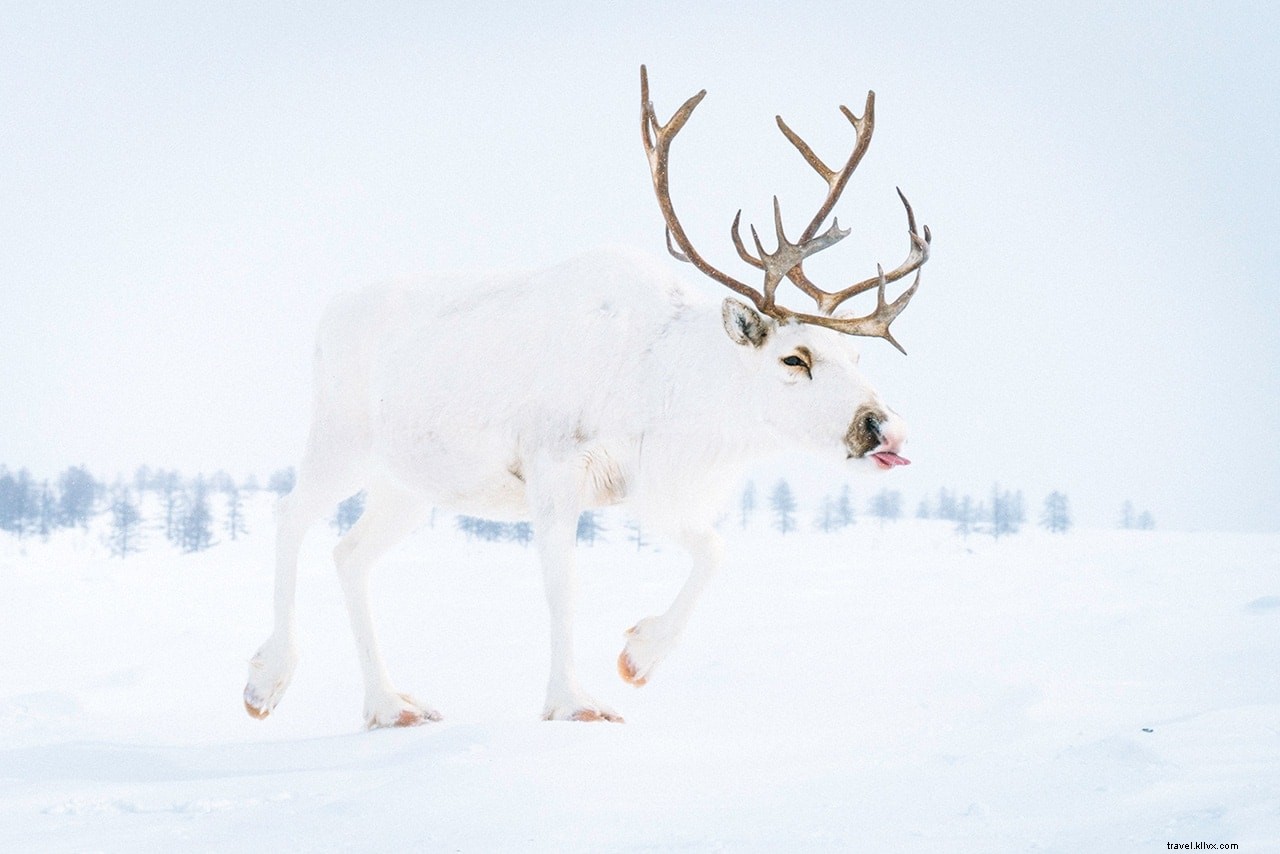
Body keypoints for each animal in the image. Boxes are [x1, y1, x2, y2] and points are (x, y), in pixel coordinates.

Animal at [243, 66, 931, 728]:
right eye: (795, 358)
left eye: (857, 357)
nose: (885, 428)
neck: (675, 393)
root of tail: (328, 314)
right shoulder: (554, 468)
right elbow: (564, 588)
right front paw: (574, 700)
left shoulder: (646, 486)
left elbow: (713, 549)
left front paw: (638, 657)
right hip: (340, 442)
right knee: (289, 515)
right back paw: (266, 680)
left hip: (409, 484)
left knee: (349, 554)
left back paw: (391, 705)